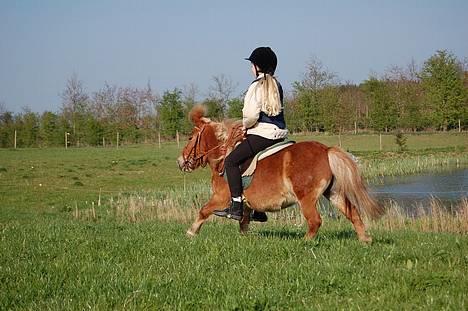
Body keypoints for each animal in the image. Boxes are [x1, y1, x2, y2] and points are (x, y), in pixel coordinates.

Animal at [177, 106, 382, 243]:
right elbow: (243, 223)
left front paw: (191, 232)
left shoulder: (221, 197)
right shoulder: (246, 205)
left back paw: (304, 242)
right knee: (353, 213)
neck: (223, 155)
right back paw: (365, 240)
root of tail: (326, 150)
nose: (180, 162)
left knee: (315, 221)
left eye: (190, 138)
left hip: (306, 198)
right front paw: (244, 240)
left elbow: (203, 210)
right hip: (333, 193)